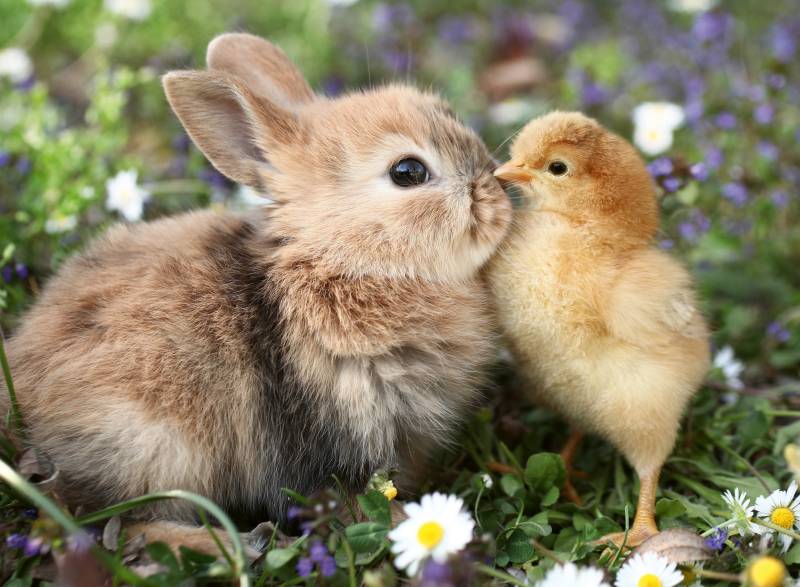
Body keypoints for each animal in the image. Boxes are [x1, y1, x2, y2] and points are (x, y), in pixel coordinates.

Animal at [0, 33, 511, 554]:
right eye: (408, 172)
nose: (496, 189)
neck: (339, 259)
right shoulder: (329, 442)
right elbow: (347, 500)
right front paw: (414, 525)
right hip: (153, 444)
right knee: (121, 526)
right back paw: (239, 544)